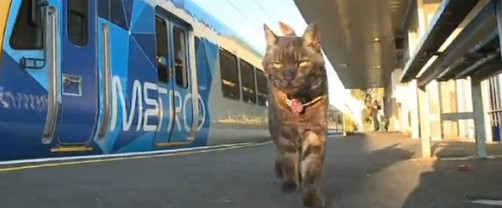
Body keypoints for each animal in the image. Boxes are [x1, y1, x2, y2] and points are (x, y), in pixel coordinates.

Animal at [262, 21, 330, 208]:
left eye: (302, 63)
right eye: (278, 64)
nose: (288, 76)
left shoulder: (315, 132)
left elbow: (311, 167)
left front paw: (311, 196)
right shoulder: (284, 132)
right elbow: (288, 158)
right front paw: (291, 182)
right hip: (273, 126)